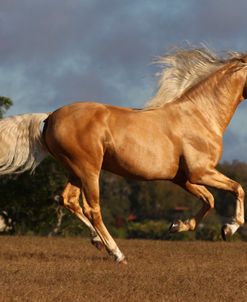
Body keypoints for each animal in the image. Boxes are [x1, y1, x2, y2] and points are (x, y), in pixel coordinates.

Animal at [0, 46, 247, 262]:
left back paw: (97, 242)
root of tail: (49, 116)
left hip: (74, 170)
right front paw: (229, 228)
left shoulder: (183, 178)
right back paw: (116, 253)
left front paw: (178, 225)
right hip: (89, 170)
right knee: (92, 208)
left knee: (68, 200)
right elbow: (237, 189)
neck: (200, 115)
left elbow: (210, 200)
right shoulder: (200, 172)